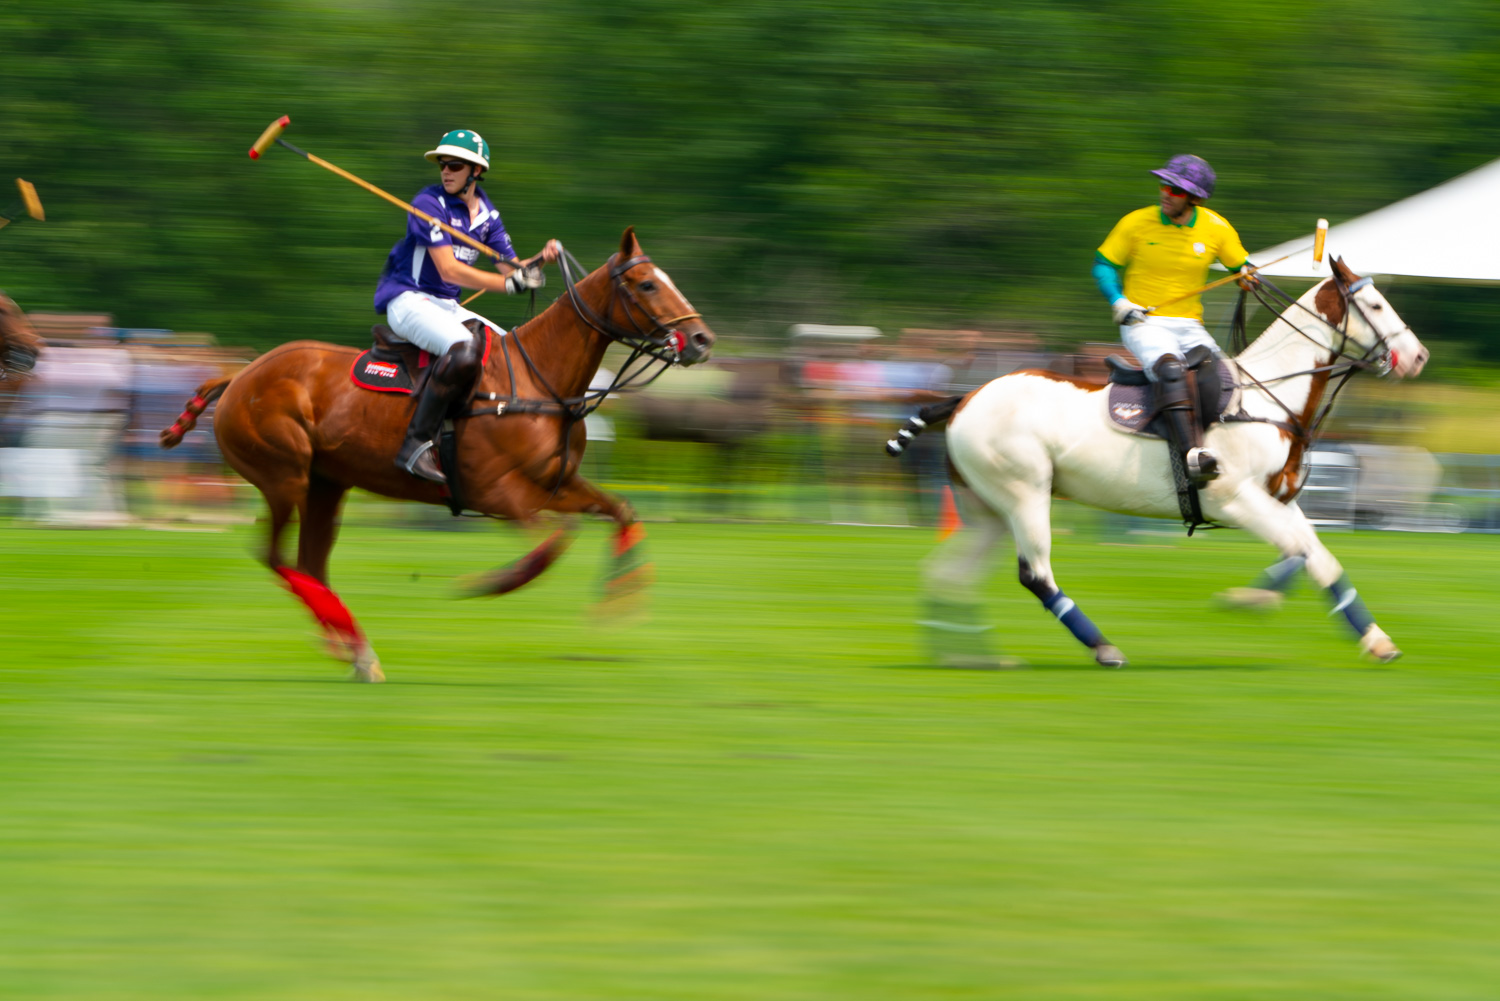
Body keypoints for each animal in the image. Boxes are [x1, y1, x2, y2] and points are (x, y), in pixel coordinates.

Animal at [164, 226, 714, 681]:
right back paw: (354, 646)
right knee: (276, 556)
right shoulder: (495, 492)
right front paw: (492, 583)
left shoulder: (556, 486)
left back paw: (354, 650)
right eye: (646, 285)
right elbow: (554, 541)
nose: (702, 339)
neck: (539, 382)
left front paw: (620, 601)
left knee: (309, 562)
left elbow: (621, 511)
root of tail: (238, 375)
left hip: (327, 483)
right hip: (283, 474)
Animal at [900, 258, 1428, 669]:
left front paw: (1377, 642)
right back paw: (1103, 648)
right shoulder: (1234, 500)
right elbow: (1300, 551)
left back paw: (968, 656)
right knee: (1035, 574)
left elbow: (1319, 556)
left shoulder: (1279, 500)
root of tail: (965, 398)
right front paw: (1249, 600)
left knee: (949, 573)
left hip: (988, 508)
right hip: (1024, 492)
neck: (1268, 397)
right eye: (1375, 306)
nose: (1418, 356)